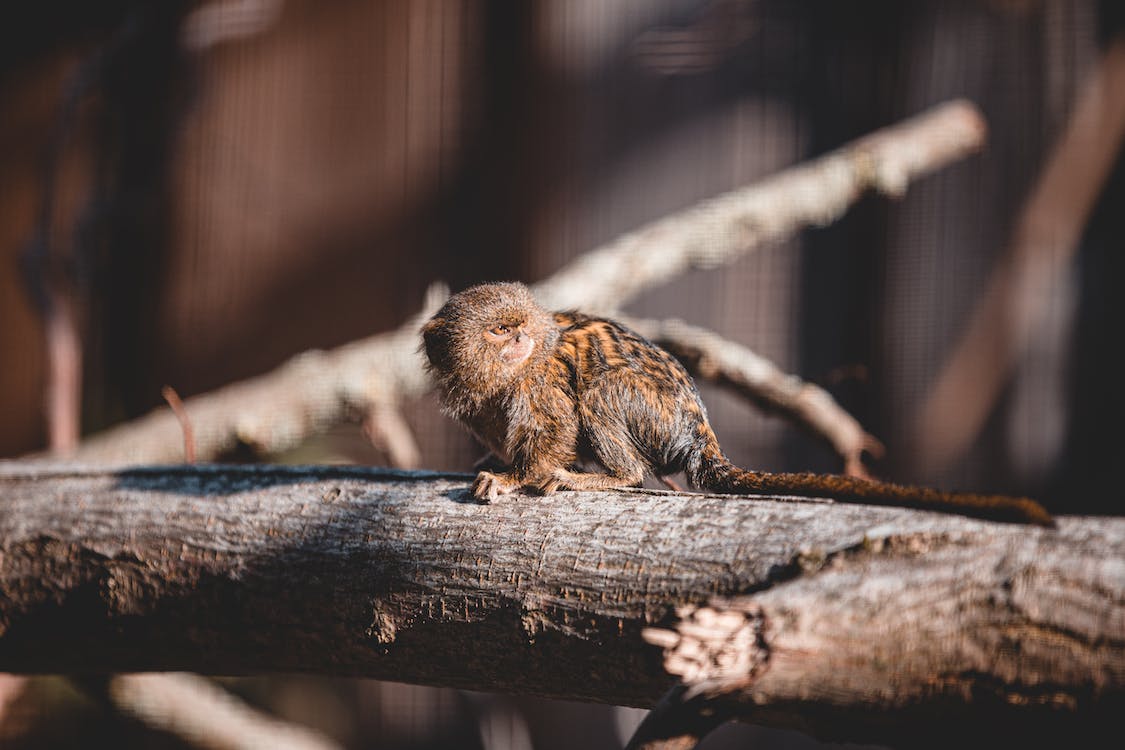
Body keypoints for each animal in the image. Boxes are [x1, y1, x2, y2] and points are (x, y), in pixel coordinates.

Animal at [421, 282, 1054, 527]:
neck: (505, 377)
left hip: (643, 406)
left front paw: (516, 478)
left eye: (518, 328)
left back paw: (602, 478)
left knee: (600, 399)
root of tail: (700, 432)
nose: (520, 341)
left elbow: (557, 428)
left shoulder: (540, 382)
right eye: (499, 331)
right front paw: (494, 462)